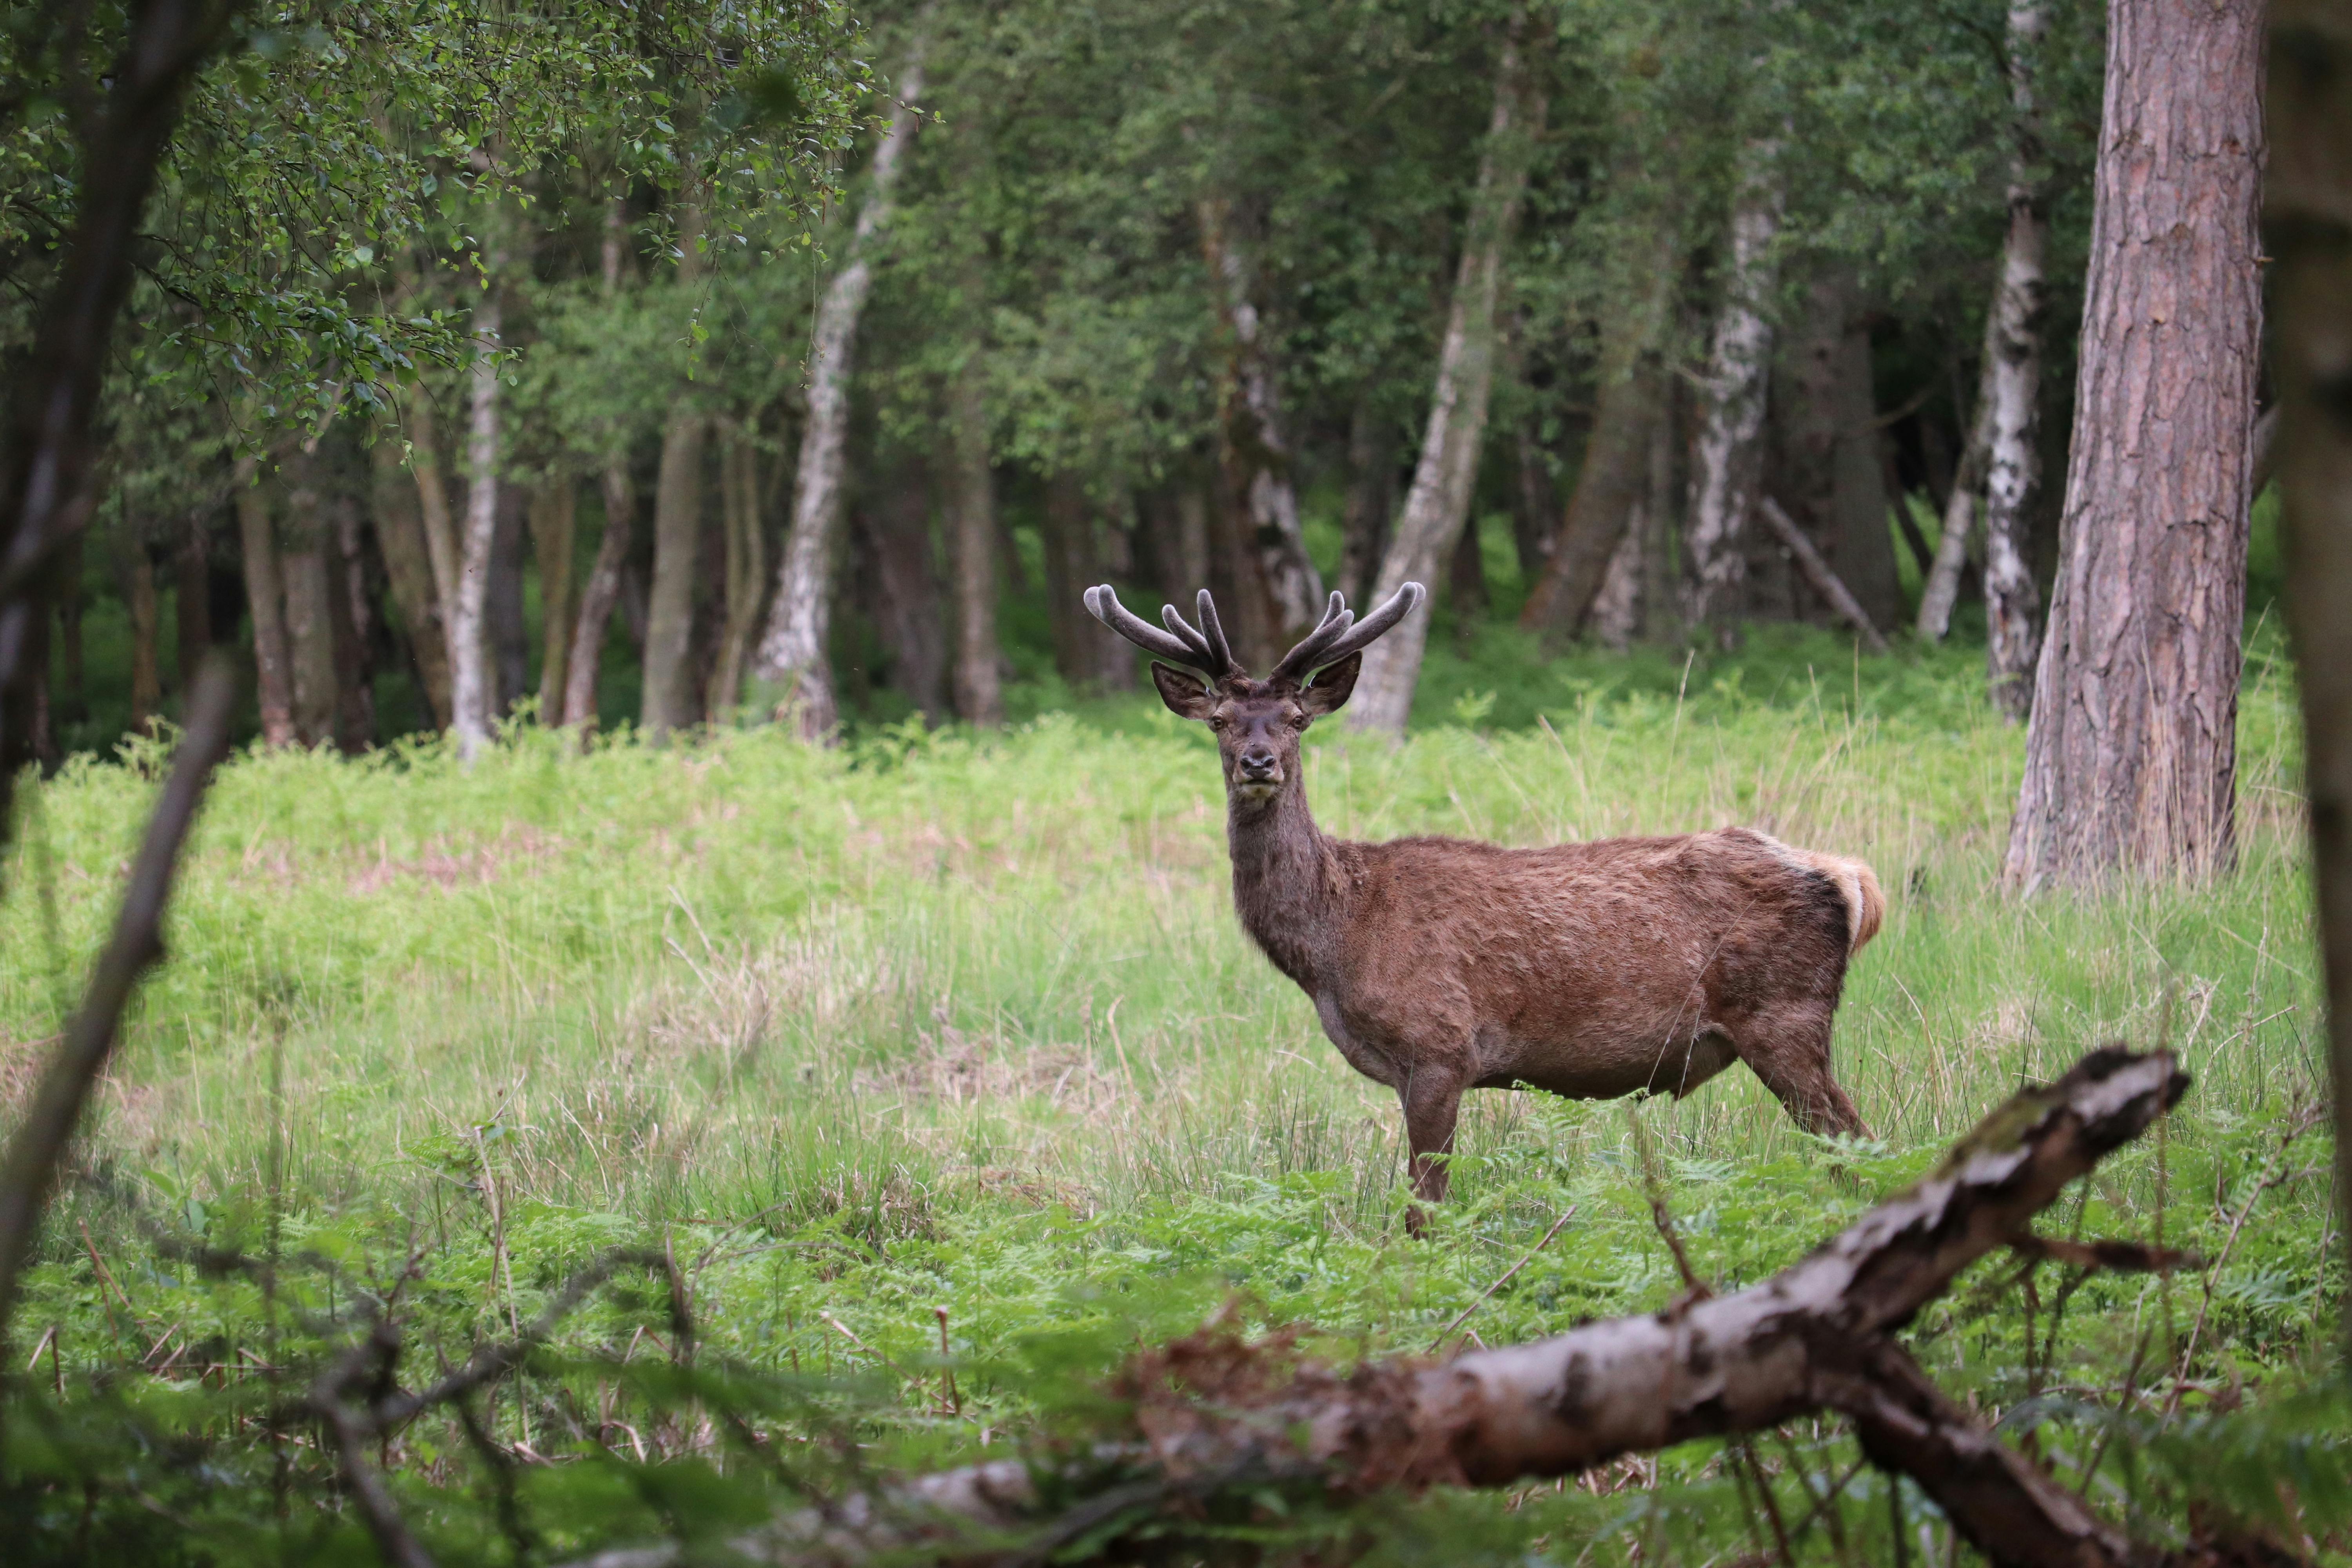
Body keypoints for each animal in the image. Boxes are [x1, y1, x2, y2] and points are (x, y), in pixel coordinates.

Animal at [1087, 583, 1891, 1222]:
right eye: (1220, 720)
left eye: (1296, 719)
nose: (1259, 763)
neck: (1335, 944)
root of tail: (1848, 876)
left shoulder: (1442, 1046)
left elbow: (1426, 1209)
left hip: (1782, 1015)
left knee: (1861, 1143)